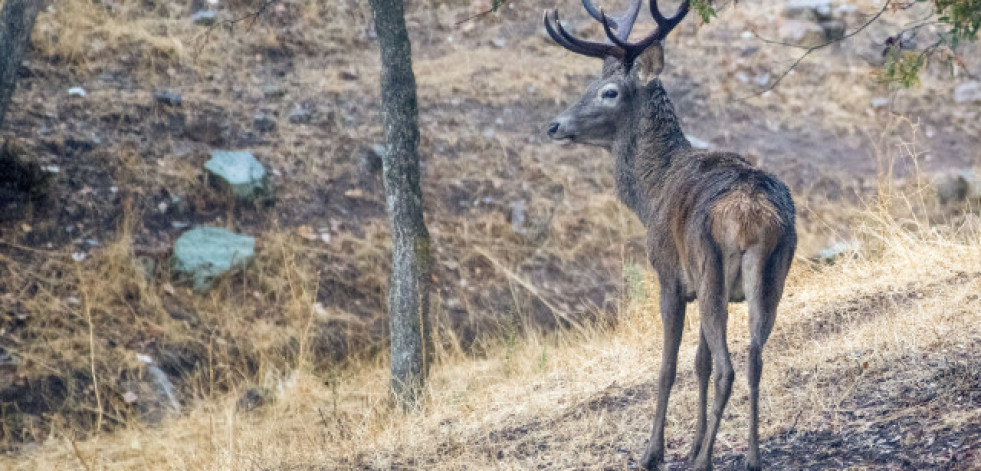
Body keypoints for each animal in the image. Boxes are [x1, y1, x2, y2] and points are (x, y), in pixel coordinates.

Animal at [544, 1, 796, 470]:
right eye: (590, 83)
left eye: (609, 92)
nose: (554, 125)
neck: (652, 192)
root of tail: (750, 216)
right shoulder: (701, 282)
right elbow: (698, 362)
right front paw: (695, 442)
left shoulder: (670, 276)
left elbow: (668, 366)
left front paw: (655, 451)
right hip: (773, 273)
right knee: (754, 357)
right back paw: (751, 456)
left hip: (710, 265)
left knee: (728, 368)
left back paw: (705, 461)